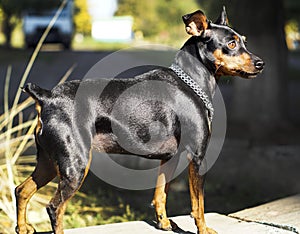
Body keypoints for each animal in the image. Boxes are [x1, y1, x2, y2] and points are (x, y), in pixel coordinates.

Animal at [15, 7, 264, 234]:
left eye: (244, 41)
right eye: (230, 44)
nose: (261, 63)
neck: (191, 82)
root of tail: (48, 96)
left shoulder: (169, 158)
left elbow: (160, 194)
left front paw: (164, 223)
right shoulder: (197, 156)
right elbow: (198, 204)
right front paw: (203, 230)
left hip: (49, 161)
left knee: (21, 190)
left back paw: (23, 228)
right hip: (75, 165)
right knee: (54, 207)